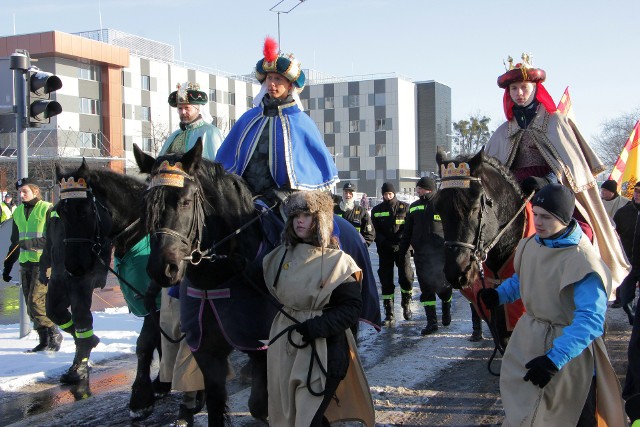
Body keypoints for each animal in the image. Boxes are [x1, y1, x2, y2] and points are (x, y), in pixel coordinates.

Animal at [55, 161, 169, 422]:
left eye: (85, 211)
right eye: (59, 212)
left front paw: (140, 399)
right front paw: (161, 383)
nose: (73, 267)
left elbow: (145, 343)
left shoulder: (154, 300)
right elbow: (159, 341)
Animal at [131, 139, 380, 426]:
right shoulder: (207, 352)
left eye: (184, 202)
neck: (222, 274)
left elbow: (260, 405)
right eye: (146, 205)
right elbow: (217, 406)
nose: (163, 268)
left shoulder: (262, 346)